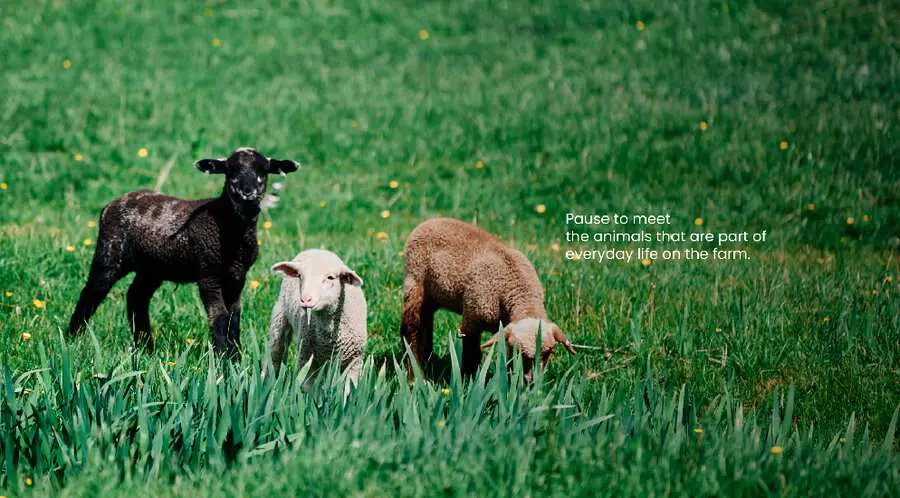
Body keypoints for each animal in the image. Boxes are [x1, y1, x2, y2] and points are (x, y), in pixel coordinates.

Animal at [67, 147, 300, 357]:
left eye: (264, 171)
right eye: (230, 171)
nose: (248, 194)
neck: (225, 223)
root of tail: (111, 204)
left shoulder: (238, 275)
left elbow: (234, 319)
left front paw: (236, 360)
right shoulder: (208, 273)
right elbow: (219, 317)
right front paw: (222, 361)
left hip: (152, 268)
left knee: (136, 297)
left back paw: (146, 348)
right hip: (110, 251)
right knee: (92, 292)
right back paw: (73, 340)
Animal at [265, 249, 367, 394]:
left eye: (330, 277)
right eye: (300, 276)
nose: (305, 300)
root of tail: (316, 250)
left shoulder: (354, 362)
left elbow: (348, 391)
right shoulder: (307, 357)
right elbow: (308, 388)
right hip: (279, 316)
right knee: (274, 353)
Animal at [400, 217, 576, 381]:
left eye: (548, 352)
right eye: (520, 353)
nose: (532, 382)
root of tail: (431, 220)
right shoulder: (472, 317)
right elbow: (471, 355)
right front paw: (468, 381)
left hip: (433, 296)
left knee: (425, 324)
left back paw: (426, 362)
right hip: (415, 282)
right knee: (410, 328)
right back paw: (414, 375)